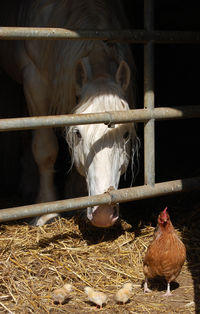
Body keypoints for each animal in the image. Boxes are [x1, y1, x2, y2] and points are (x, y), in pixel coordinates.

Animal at [0, 1, 138, 229]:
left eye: (125, 134)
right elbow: (45, 150)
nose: (103, 214)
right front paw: (46, 211)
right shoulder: (34, 81)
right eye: (78, 134)